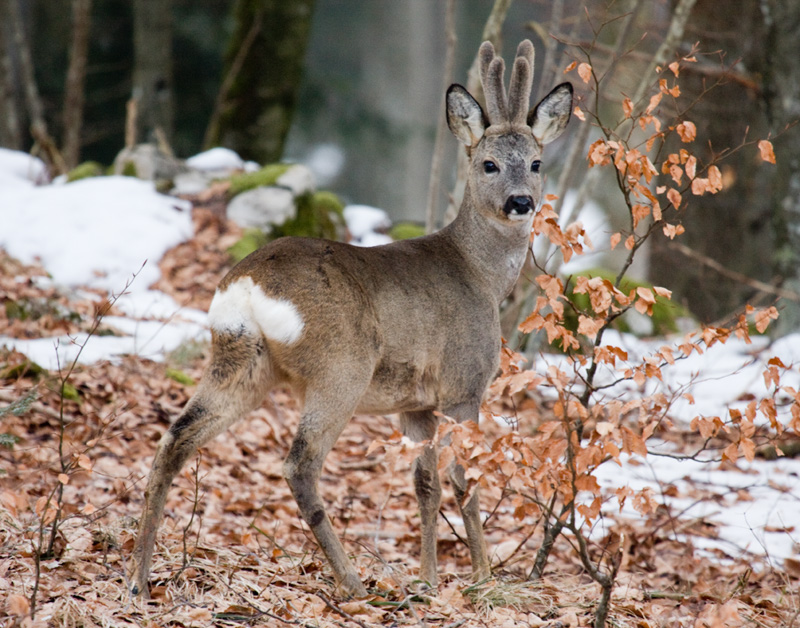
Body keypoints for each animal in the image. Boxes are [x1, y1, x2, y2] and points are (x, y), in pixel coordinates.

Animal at [128, 39, 572, 600]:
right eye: (489, 164)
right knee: (299, 463)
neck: (481, 275)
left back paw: (138, 579)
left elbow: (424, 484)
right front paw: (481, 580)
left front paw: (428, 580)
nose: (521, 202)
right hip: (340, 366)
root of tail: (247, 286)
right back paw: (353, 581)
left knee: (174, 439)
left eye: (536, 162)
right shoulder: (463, 385)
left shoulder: (416, 405)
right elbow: (463, 480)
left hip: (240, 361)